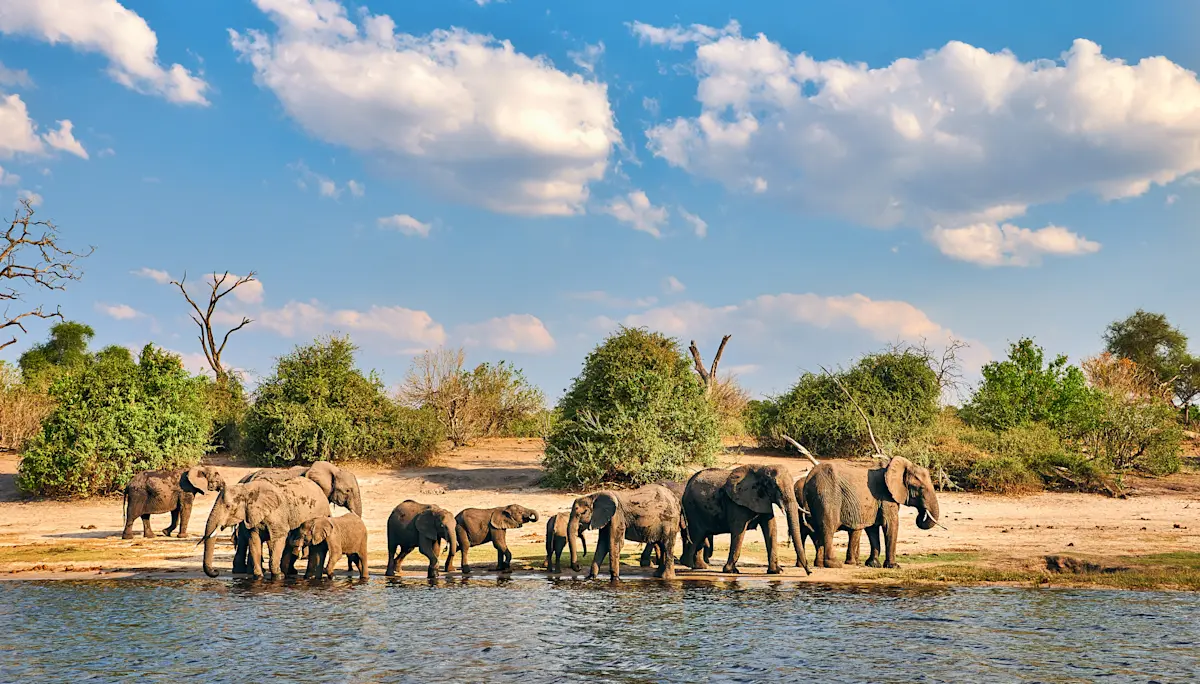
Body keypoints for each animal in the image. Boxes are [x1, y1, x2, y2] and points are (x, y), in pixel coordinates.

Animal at [201, 477, 330, 579]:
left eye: (228, 506)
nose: (216, 571)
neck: (246, 489)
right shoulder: (252, 515)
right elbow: (254, 541)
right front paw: (259, 576)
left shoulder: (277, 513)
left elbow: (278, 538)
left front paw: (278, 576)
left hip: (321, 515)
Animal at [799, 456, 940, 569]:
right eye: (921, 488)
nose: (921, 514)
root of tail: (808, 477)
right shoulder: (886, 495)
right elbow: (890, 524)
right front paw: (894, 566)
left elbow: (872, 528)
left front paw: (873, 564)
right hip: (828, 495)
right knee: (828, 527)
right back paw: (834, 564)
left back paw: (821, 565)